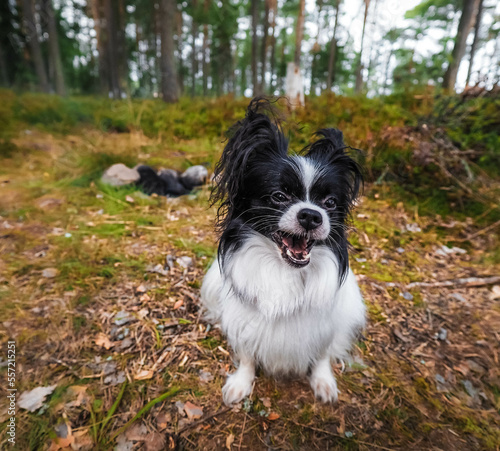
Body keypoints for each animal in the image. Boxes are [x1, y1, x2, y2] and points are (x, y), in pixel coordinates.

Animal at [201, 98, 366, 406]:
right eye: (279, 196)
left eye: (330, 202)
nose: (312, 216)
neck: (283, 270)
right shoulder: (245, 321)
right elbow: (247, 354)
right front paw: (241, 382)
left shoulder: (326, 325)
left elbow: (322, 354)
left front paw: (323, 380)